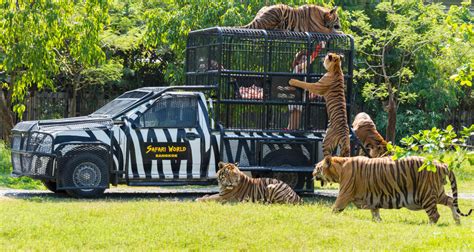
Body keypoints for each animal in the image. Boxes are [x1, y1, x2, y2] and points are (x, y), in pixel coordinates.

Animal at [312, 156, 472, 224]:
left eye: (317, 167)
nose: (312, 173)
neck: (339, 169)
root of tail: (441, 164)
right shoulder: (372, 199)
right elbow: (375, 212)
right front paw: (378, 222)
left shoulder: (344, 194)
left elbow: (334, 208)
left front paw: (326, 217)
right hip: (437, 193)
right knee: (451, 201)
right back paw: (457, 221)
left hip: (426, 195)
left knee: (435, 215)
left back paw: (429, 226)